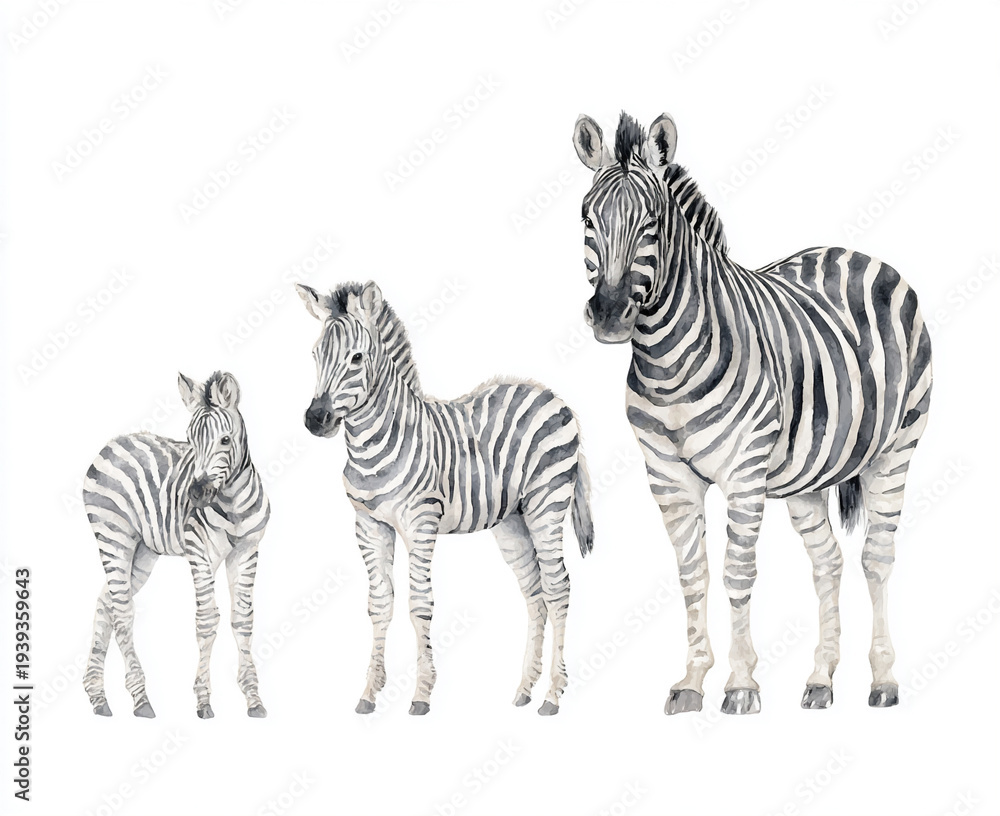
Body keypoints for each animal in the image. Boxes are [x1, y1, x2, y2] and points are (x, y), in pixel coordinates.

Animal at [82, 371, 270, 719]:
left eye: (225, 440)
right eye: (190, 440)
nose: (195, 495)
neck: (233, 502)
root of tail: (111, 443)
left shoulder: (248, 550)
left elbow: (243, 620)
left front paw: (253, 699)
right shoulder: (199, 551)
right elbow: (207, 620)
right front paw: (204, 700)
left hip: (142, 551)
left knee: (106, 603)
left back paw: (98, 698)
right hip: (114, 536)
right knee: (122, 610)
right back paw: (141, 700)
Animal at [296, 280, 594, 716]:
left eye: (356, 358)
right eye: (316, 354)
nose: (316, 420)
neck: (374, 447)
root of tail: (551, 395)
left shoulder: (421, 522)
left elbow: (420, 604)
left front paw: (421, 694)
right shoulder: (369, 525)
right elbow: (379, 604)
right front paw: (369, 693)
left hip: (547, 504)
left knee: (558, 588)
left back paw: (553, 695)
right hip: (512, 520)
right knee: (534, 592)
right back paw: (525, 689)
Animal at [572, 111, 932, 714]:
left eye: (652, 222)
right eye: (586, 218)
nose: (609, 314)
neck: (668, 362)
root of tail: (857, 253)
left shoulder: (743, 471)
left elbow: (737, 574)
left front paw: (740, 684)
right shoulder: (666, 475)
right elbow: (692, 576)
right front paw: (692, 681)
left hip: (897, 447)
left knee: (877, 557)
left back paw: (883, 681)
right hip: (810, 471)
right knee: (828, 561)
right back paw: (820, 679)